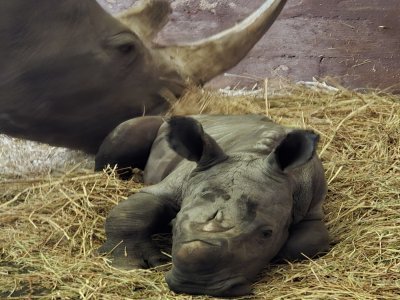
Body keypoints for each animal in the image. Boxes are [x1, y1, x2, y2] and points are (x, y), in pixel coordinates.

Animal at [96, 115, 328, 298]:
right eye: (173, 224)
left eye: (266, 234)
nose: (193, 285)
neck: (252, 154)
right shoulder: (179, 182)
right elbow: (131, 212)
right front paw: (128, 265)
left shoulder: (312, 207)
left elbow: (305, 243)